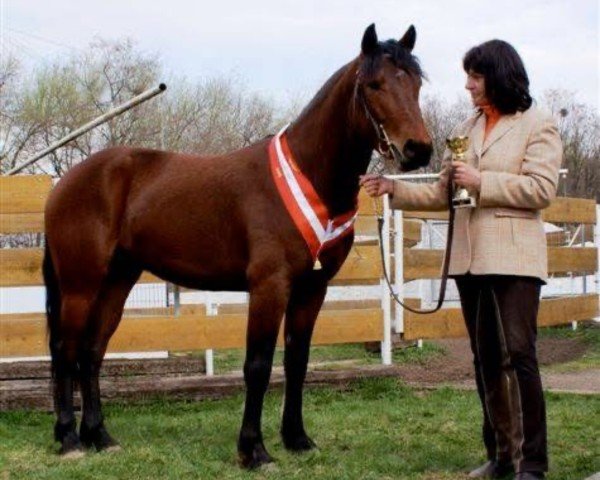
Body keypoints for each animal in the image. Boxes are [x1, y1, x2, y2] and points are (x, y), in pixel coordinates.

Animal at [44, 24, 434, 466]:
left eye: (416, 83)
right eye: (373, 85)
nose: (418, 149)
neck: (307, 175)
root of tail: (67, 182)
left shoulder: (312, 289)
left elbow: (297, 361)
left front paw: (297, 438)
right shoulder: (269, 287)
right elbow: (259, 365)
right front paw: (254, 450)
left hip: (117, 279)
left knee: (92, 350)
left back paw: (100, 435)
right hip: (80, 284)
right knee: (66, 350)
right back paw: (70, 439)